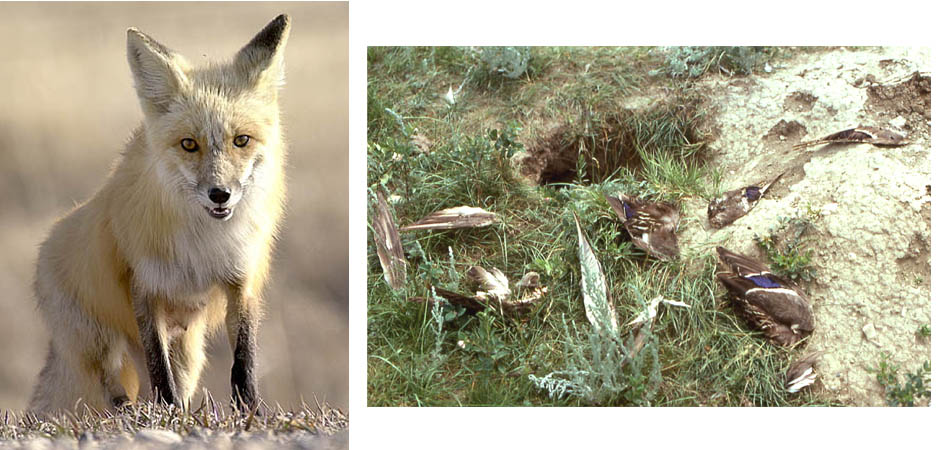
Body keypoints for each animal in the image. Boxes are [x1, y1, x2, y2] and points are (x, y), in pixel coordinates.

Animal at [28, 14, 291, 413]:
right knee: (111, 387)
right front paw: (168, 416)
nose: (220, 194)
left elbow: (244, 362)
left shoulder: (240, 284)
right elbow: (159, 372)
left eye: (241, 140)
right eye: (189, 144)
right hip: (101, 342)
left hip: (189, 351)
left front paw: (250, 413)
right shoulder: (144, 289)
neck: (204, 244)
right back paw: (128, 414)